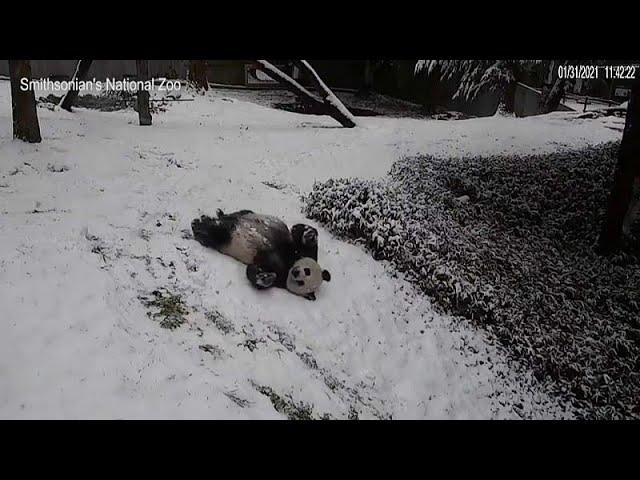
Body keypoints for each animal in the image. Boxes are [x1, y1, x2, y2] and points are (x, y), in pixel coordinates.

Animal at [190, 209, 330, 300]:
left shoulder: (278, 276)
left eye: (301, 283)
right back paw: (212, 216)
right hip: (246, 215)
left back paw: (200, 226)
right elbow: (298, 233)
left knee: (216, 234)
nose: (296, 272)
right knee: (239, 214)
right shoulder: (298, 249)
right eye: (307, 270)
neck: (288, 265)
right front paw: (310, 234)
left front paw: (265, 278)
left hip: (224, 238)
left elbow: (255, 272)